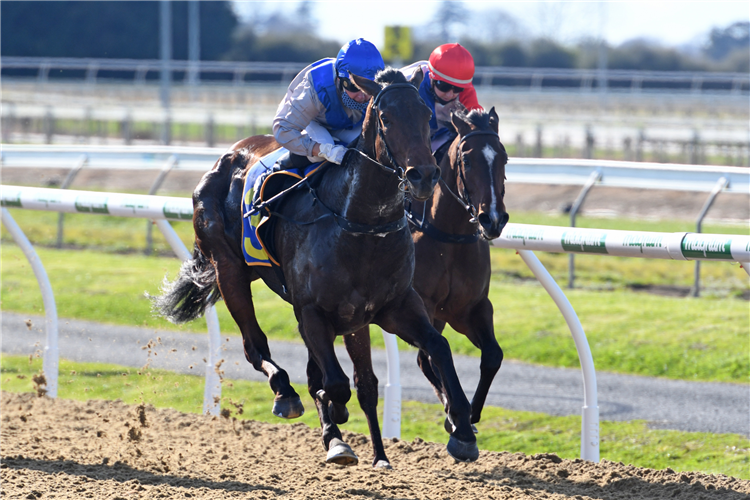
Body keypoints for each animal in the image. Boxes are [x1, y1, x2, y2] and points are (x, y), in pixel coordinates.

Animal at [154, 68, 482, 466]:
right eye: (386, 118)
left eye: (426, 116)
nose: (423, 175)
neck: (360, 226)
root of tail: (228, 156)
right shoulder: (311, 311)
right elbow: (335, 383)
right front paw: (334, 417)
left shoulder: (395, 306)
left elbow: (438, 346)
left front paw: (462, 428)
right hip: (229, 270)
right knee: (255, 346)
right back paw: (289, 397)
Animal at [408, 109, 508, 434]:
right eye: (467, 159)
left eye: (504, 157)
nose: (493, 219)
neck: (448, 234)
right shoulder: (422, 305)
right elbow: (432, 357)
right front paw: (456, 415)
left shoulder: (469, 308)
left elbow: (493, 355)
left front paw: (471, 415)